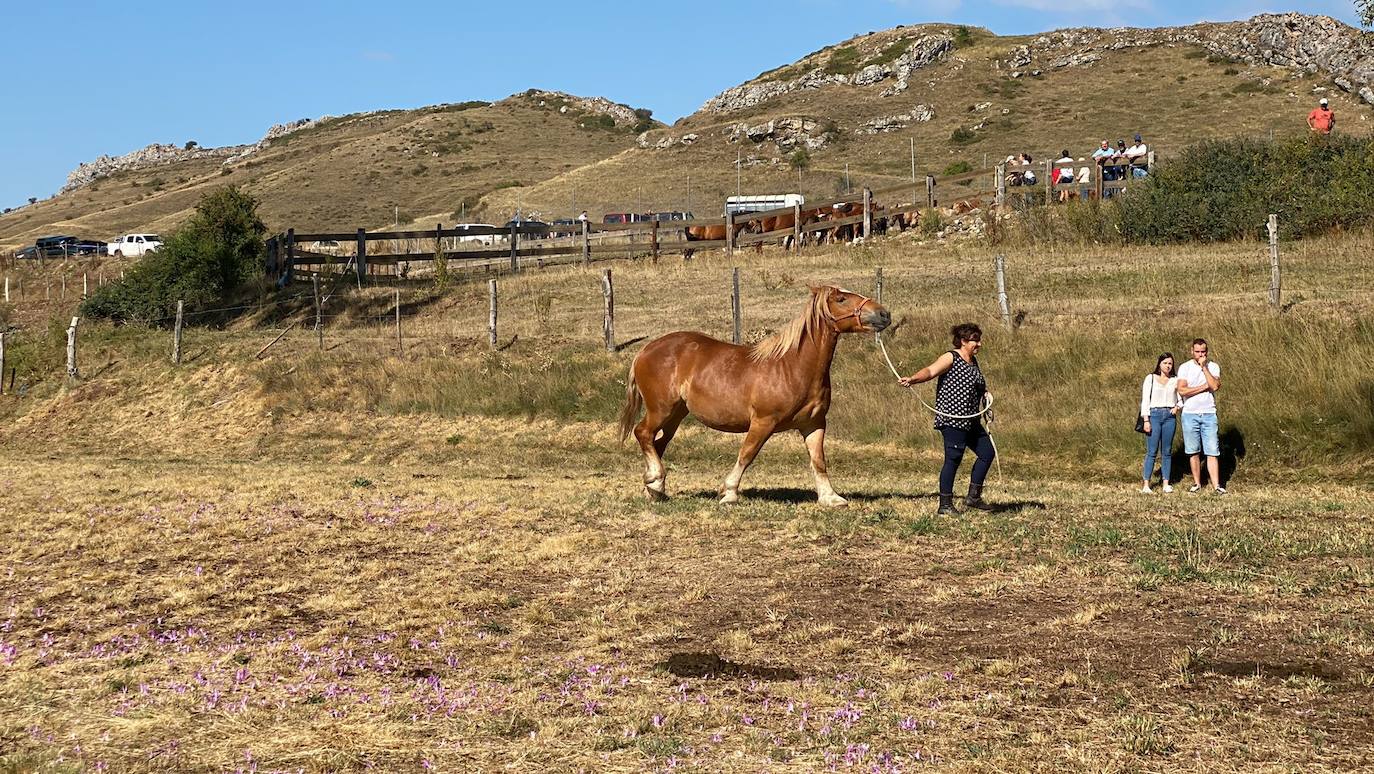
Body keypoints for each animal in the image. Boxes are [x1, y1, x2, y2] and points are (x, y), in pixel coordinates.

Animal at [621, 287, 890, 505]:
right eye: (841, 298)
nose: (884, 314)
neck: (792, 367)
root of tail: (645, 350)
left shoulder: (813, 423)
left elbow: (818, 460)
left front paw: (831, 498)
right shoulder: (763, 421)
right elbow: (747, 454)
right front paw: (729, 493)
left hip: (676, 415)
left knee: (657, 443)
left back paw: (654, 490)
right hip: (661, 409)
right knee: (642, 433)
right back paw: (655, 479)